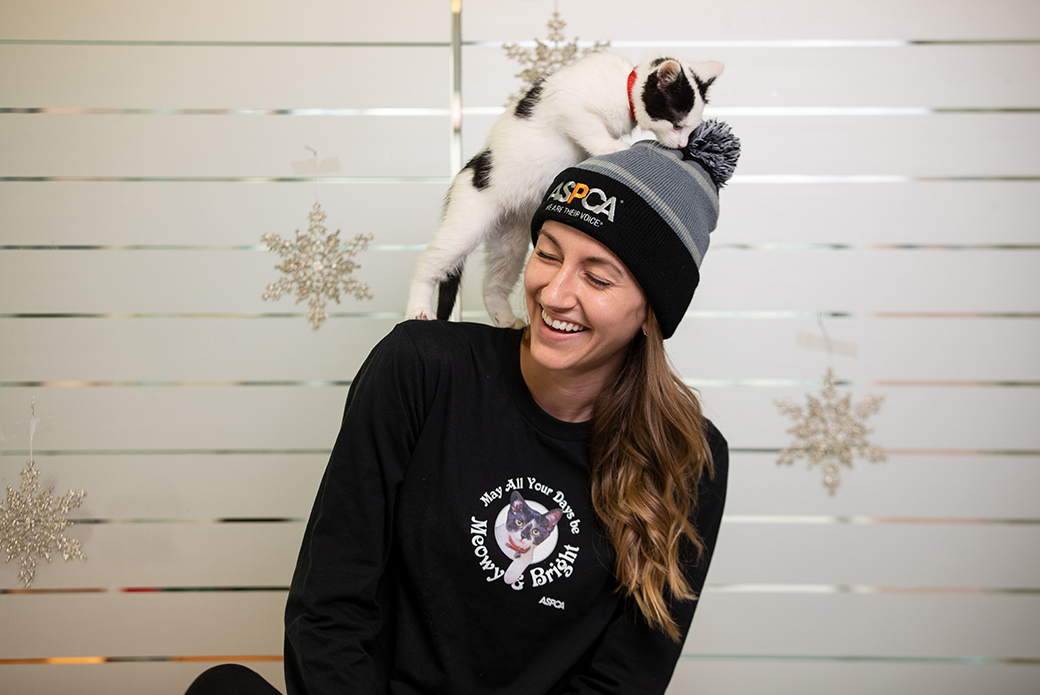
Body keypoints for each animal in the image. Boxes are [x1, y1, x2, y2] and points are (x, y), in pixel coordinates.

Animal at [403, 51, 723, 328]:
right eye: (677, 124)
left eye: (689, 128)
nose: (682, 145)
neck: (625, 86)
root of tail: (464, 174)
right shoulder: (568, 104)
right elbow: (591, 129)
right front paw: (612, 148)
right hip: (467, 223)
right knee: (428, 262)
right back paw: (417, 309)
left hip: (510, 241)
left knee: (493, 284)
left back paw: (505, 319)